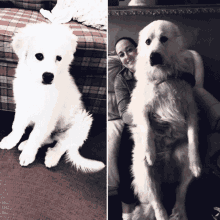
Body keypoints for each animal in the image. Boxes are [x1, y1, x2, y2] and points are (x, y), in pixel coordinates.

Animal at [0, 22, 105, 172]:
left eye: (59, 58)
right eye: (39, 56)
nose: (48, 76)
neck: (38, 87)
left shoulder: (47, 116)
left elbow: (35, 136)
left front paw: (28, 155)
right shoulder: (22, 106)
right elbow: (17, 126)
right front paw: (11, 140)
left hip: (82, 122)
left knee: (62, 143)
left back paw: (51, 156)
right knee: (50, 138)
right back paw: (25, 144)